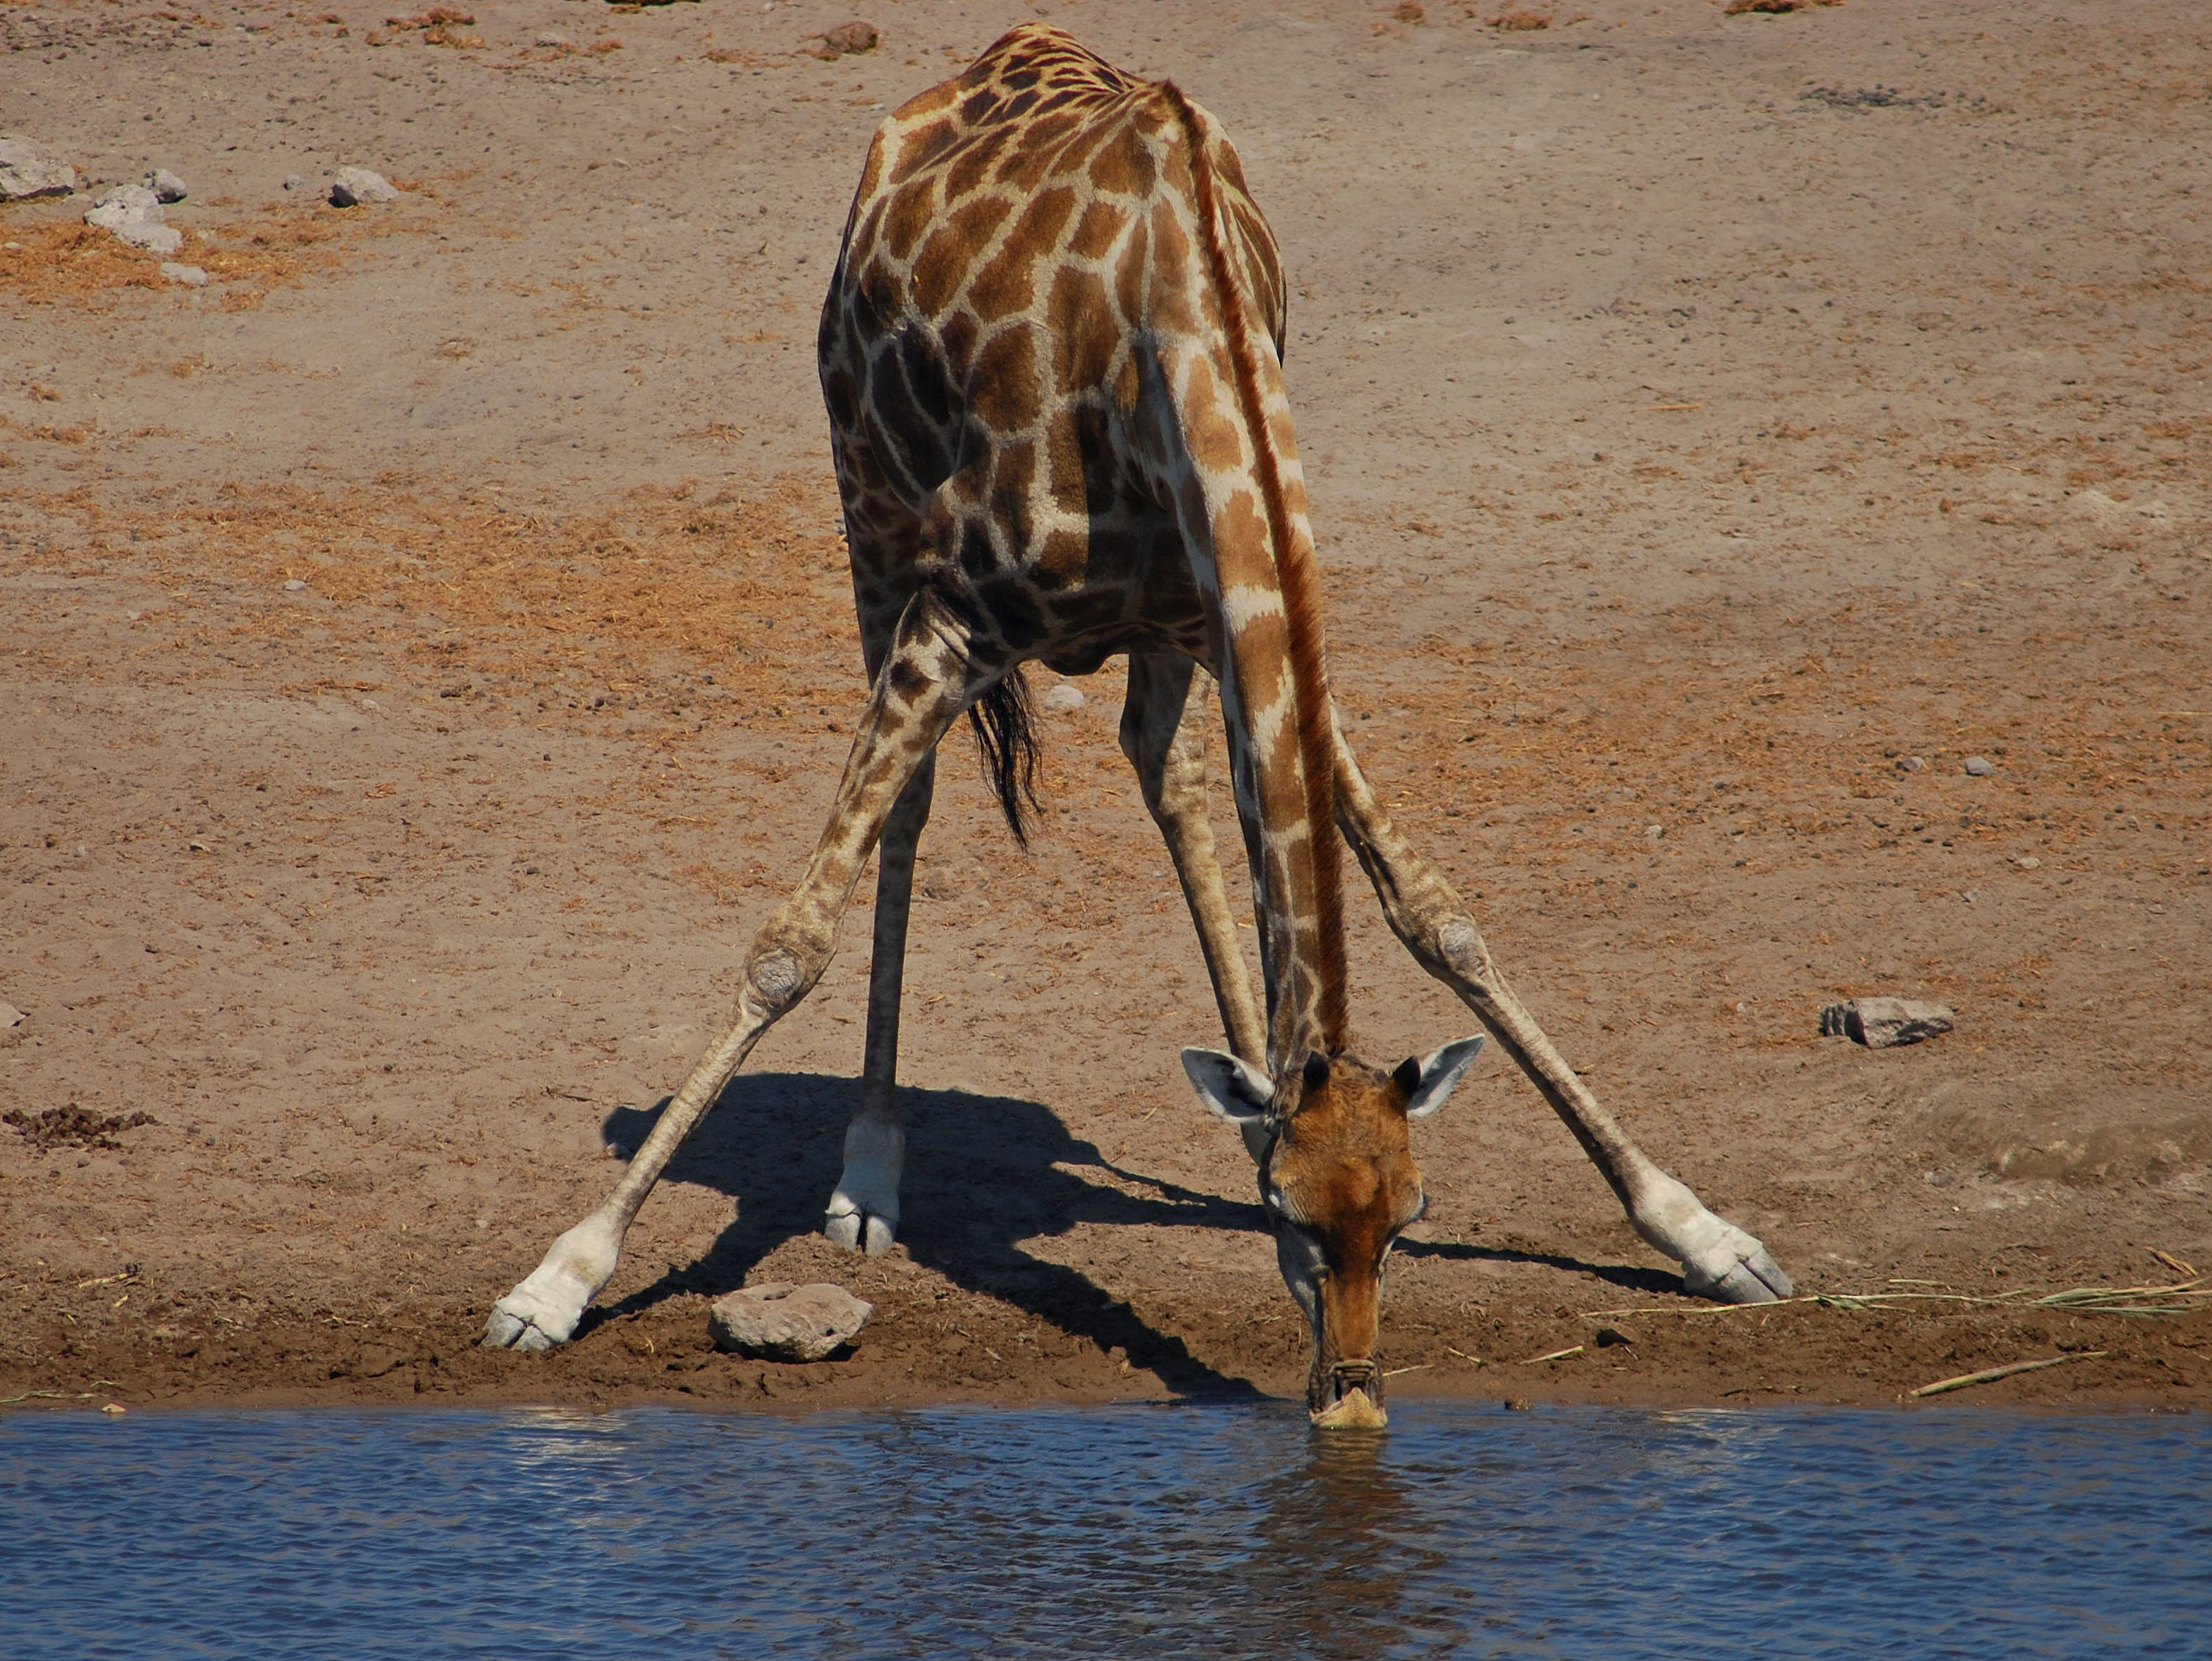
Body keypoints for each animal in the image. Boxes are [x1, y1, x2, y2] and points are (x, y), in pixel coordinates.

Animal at [475, 23, 1787, 1433]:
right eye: (1297, 1216)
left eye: (1408, 1217)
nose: (1351, 1404)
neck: (1181, 326)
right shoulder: (956, 618)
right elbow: (788, 945)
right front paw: (555, 1281)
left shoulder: (1221, 613)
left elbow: (1432, 911)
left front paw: (1704, 1233)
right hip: (868, 507)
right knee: (913, 814)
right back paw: (867, 1179)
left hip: (1139, 637)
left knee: (1166, 781)